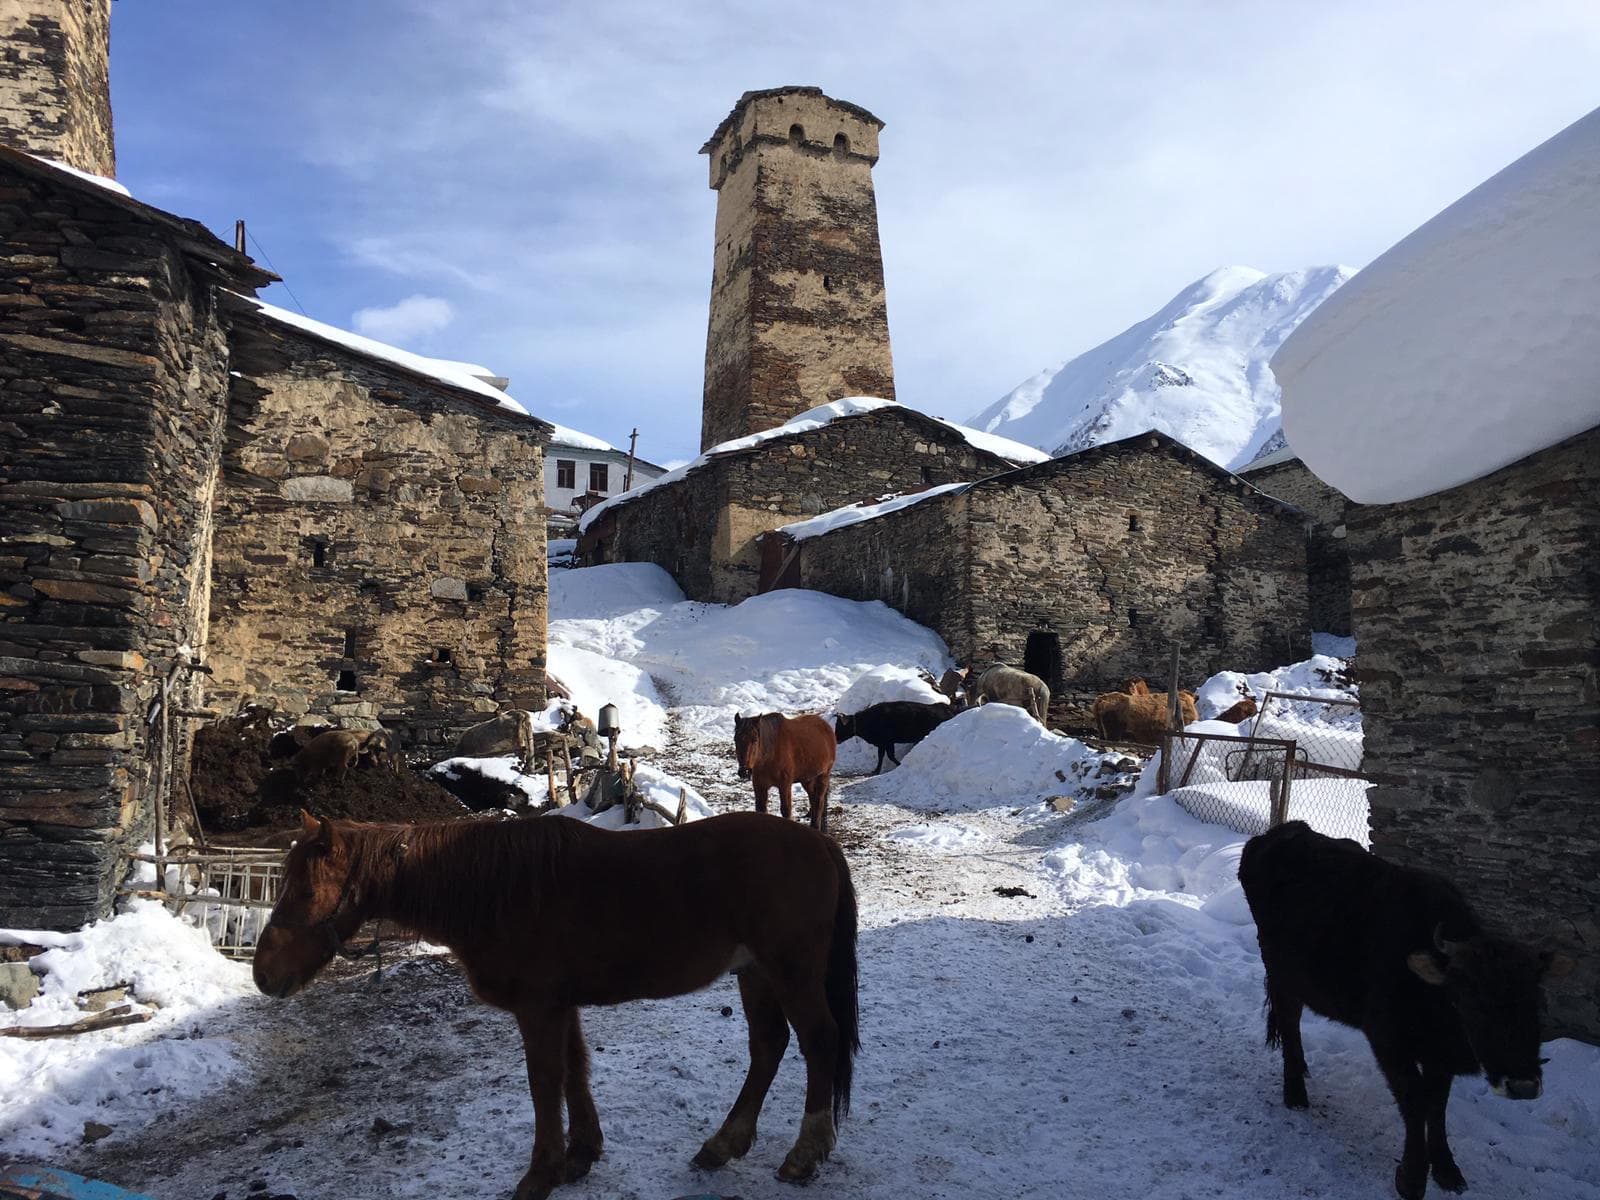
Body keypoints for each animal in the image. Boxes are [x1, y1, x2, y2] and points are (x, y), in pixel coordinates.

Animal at [254, 812, 857, 1196]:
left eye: (305, 892)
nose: (264, 974)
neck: (497, 891)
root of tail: (818, 842)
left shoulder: (538, 1007)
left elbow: (545, 1083)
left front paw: (540, 1174)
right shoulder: (561, 1005)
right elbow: (574, 1071)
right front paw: (580, 1155)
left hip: (790, 971)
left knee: (818, 1041)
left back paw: (806, 1152)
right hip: (755, 973)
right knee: (768, 1046)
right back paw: (724, 1143)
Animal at [1235, 825, 1561, 1200]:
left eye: (1535, 1002)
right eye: (1471, 999)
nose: (1522, 1085)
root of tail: (1279, 834)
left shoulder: (1439, 1057)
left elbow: (1437, 1106)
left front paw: (1447, 1170)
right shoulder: (1388, 1041)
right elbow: (1415, 1101)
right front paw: (1412, 1178)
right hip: (1281, 973)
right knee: (1289, 1022)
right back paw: (1295, 1094)